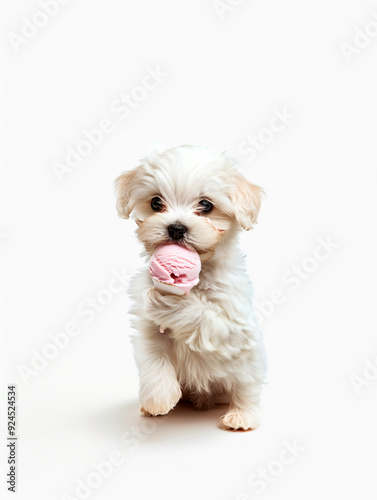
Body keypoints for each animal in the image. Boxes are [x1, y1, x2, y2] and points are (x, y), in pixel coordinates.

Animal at [114, 144, 264, 430]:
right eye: (156, 203)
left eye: (205, 205)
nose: (176, 228)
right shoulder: (148, 329)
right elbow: (155, 359)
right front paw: (158, 398)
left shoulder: (235, 327)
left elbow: (206, 318)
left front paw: (171, 304)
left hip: (249, 364)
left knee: (246, 388)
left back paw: (241, 415)